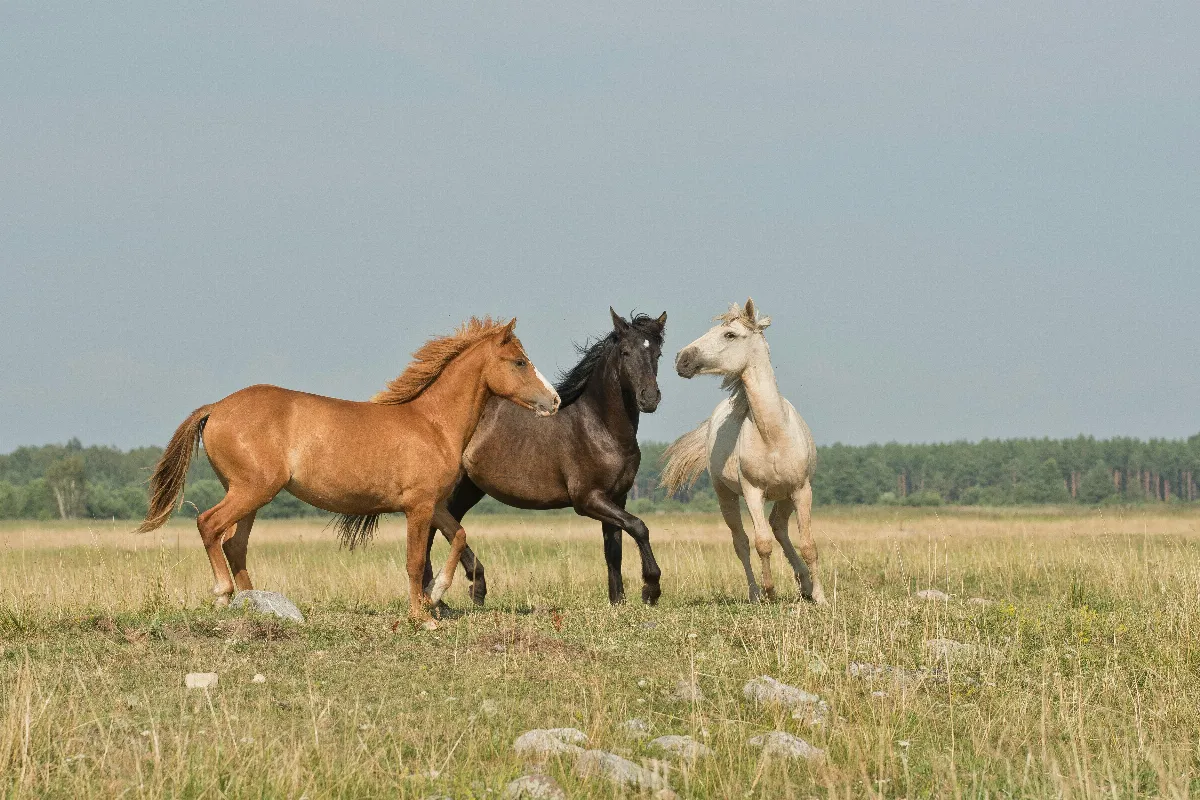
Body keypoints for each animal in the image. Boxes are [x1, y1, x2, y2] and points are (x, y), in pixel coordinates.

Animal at [136, 317, 560, 628]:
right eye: (520, 361)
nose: (554, 401)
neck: (433, 424)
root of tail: (216, 407)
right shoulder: (418, 508)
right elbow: (414, 561)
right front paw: (422, 617)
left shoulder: (435, 505)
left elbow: (458, 537)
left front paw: (436, 595)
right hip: (251, 491)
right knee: (209, 525)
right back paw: (224, 595)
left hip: (251, 496)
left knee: (234, 544)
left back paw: (256, 603)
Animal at [422, 309, 667, 606]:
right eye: (625, 352)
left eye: (657, 353)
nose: (650, 398)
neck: (601, 427)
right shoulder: (588, 499)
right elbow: (638, 526)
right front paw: (650, 589)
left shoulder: (616, 498)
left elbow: (614, 550)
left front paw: (618, 601)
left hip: (468, 488)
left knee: (445, 526)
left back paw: (456, 594)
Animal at [661, 299, 825, 604]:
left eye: (730, 335)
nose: (682, 359)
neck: (773, 435)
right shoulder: (752, 492)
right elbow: (761, 543)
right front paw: (770, 591)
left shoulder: (801, 490)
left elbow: (808, 544)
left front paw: (820, 596)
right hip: (726, 496)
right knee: (742, 542)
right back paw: (755, 593)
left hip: (786, 496)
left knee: (779, 527)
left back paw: (805, 585)